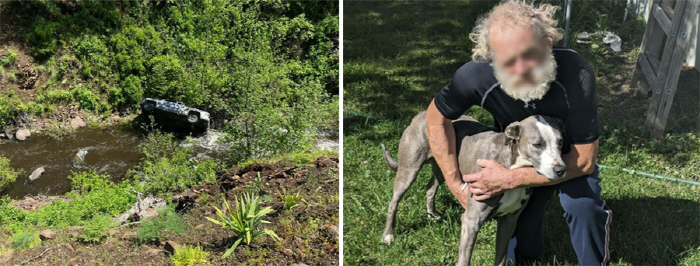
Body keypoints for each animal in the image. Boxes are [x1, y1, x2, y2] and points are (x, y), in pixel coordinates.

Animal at [380, 111, 568, 266]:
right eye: (537, 145)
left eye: (560, 143)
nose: (561, 170)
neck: (510, 168)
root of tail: (421, 113)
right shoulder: (471, 221)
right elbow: (464, 259)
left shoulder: (509, 220)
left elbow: (501, 256)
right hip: (409, 169)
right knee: (393, 202)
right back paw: (388, 236)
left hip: (444, 166)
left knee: (430, 187)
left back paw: (431, 215)